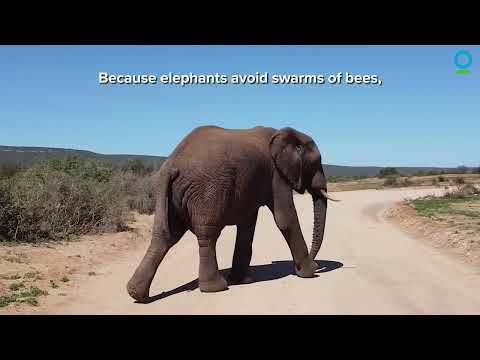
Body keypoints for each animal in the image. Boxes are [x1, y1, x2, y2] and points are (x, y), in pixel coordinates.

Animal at [127, 125, 338, 302]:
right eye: (316, 163)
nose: (315, 262)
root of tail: (171, 164)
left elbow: (247, 224)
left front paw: (242, 279)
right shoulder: (276, 175)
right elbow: (285, 218)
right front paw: (309, 273)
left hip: (171, 195)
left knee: (165, 236)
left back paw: (136, 294)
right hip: (207, 191)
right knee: (207, 235)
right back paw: (216, 287)